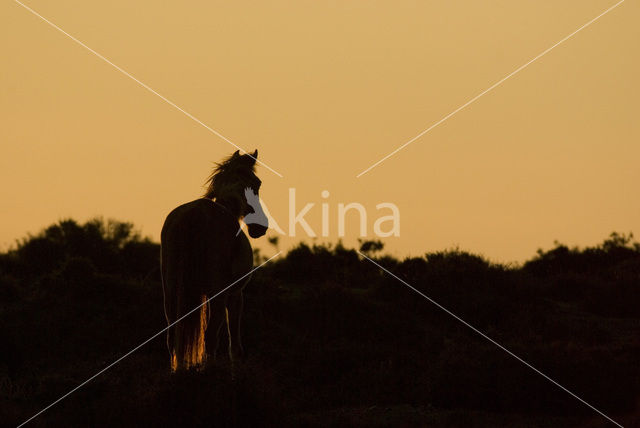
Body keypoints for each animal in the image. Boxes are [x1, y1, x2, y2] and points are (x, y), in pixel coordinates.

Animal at [162, 150, 270, 372]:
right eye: (257, 184)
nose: (260, 227)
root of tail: (194, 215)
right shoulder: (235, 295)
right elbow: (234, 346)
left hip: (171, 292)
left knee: (172, 337)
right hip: (218, 296)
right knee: (210, 337)